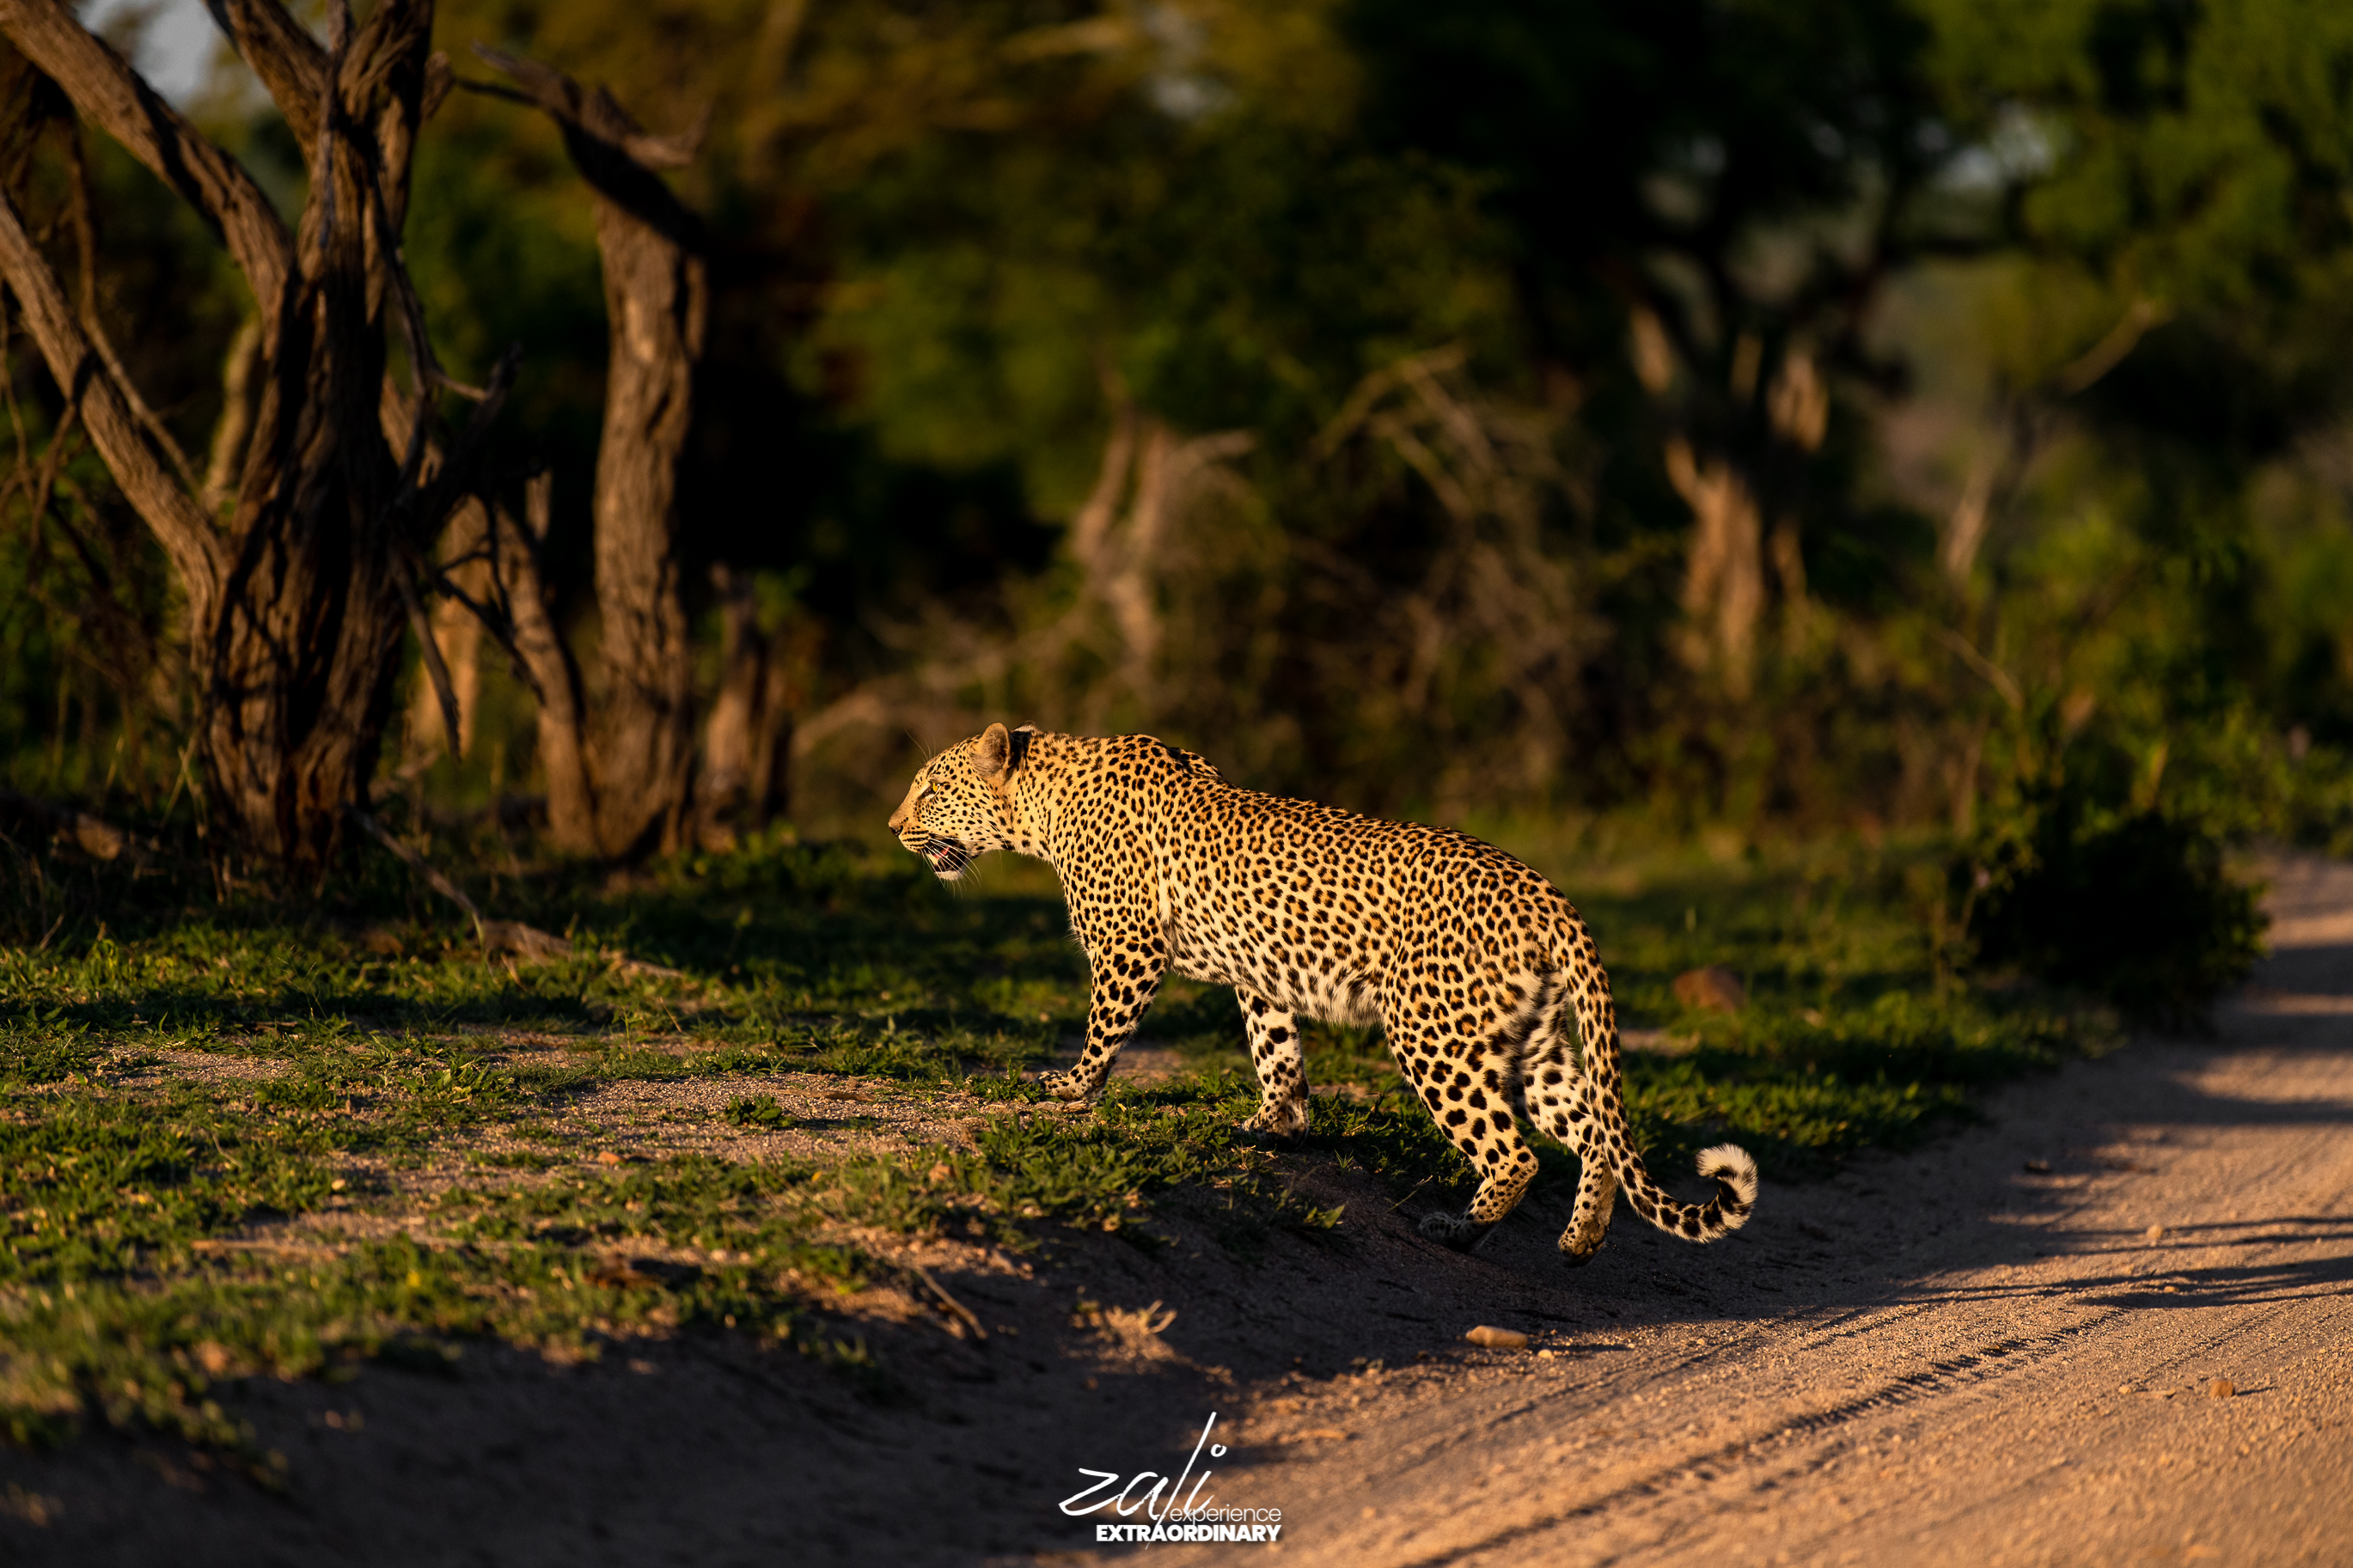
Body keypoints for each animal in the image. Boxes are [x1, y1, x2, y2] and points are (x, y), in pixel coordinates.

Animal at [888, 723, 1758, 1262]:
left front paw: (1069, 1087)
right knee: (1593, 1135)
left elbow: (1105, 1030)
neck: (1040, 805)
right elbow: (1276, 1050)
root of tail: (1546, 891)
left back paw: (1457, 1228)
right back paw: (1578, 1242)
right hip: (1527, 1041)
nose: (894, 827)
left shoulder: (1127, 947)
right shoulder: (1260, 973)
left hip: (1434, 1035)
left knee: (1514, 1151)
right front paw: (1278, 1125)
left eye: (929, 790)